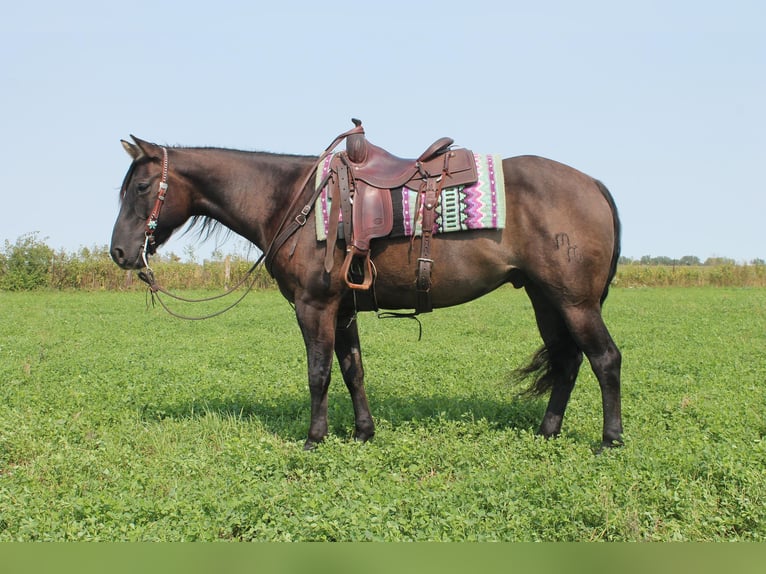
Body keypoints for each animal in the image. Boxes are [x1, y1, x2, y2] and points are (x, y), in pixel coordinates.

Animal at [109, 128, 624, 452]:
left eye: (140, 187)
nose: (119, 251)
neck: (293, 199)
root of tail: (593, 184)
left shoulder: (314, 305)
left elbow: (319, 373)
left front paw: (314, 438)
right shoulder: (343, 309)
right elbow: (353, 369)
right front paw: (362, 433)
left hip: (574, 301)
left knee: (604, 359)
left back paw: (610, 440)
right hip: (545, 298)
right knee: (567, 361)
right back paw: (548, 431)